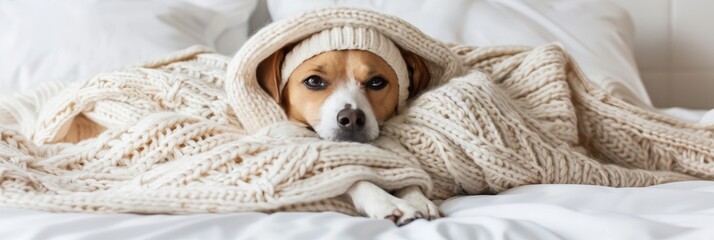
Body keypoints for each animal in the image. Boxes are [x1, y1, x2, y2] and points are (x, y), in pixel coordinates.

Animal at [253, 26, 436, 225]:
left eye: (376, 82)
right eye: (314, 81)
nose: (352, 117)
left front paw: (416, 197)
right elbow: (353, 177)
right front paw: (385, 201)